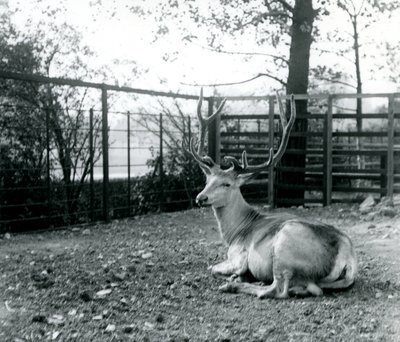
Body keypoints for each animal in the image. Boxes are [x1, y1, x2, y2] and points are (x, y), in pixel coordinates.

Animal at [186, 89, 358, 298]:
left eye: (226, 184)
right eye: (207, 180)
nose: (200, 198)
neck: (235, 233)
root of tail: (346, 256)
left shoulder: (238, 256)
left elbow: (212, 268)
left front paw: (236, 276)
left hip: (285, 248)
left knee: (279, 289)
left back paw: (234, 285)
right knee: (310, 288)